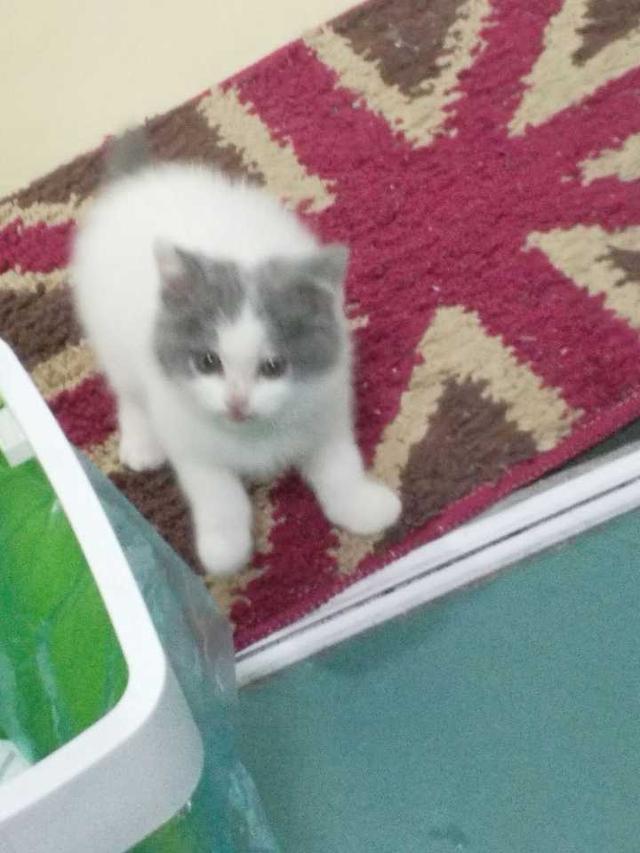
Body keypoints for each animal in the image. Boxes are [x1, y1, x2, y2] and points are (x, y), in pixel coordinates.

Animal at [72, 129, 401, 576]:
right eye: (208, 362)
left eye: (273, 366)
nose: (237, 402)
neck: (253, 435)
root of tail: (140, 181)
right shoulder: (189, 439)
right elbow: (218, 495)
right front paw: (224, 551)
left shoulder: (326, 409)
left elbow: (340, 467)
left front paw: (365, 508)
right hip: (113, 339)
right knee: (128, 391)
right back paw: (141, 444)